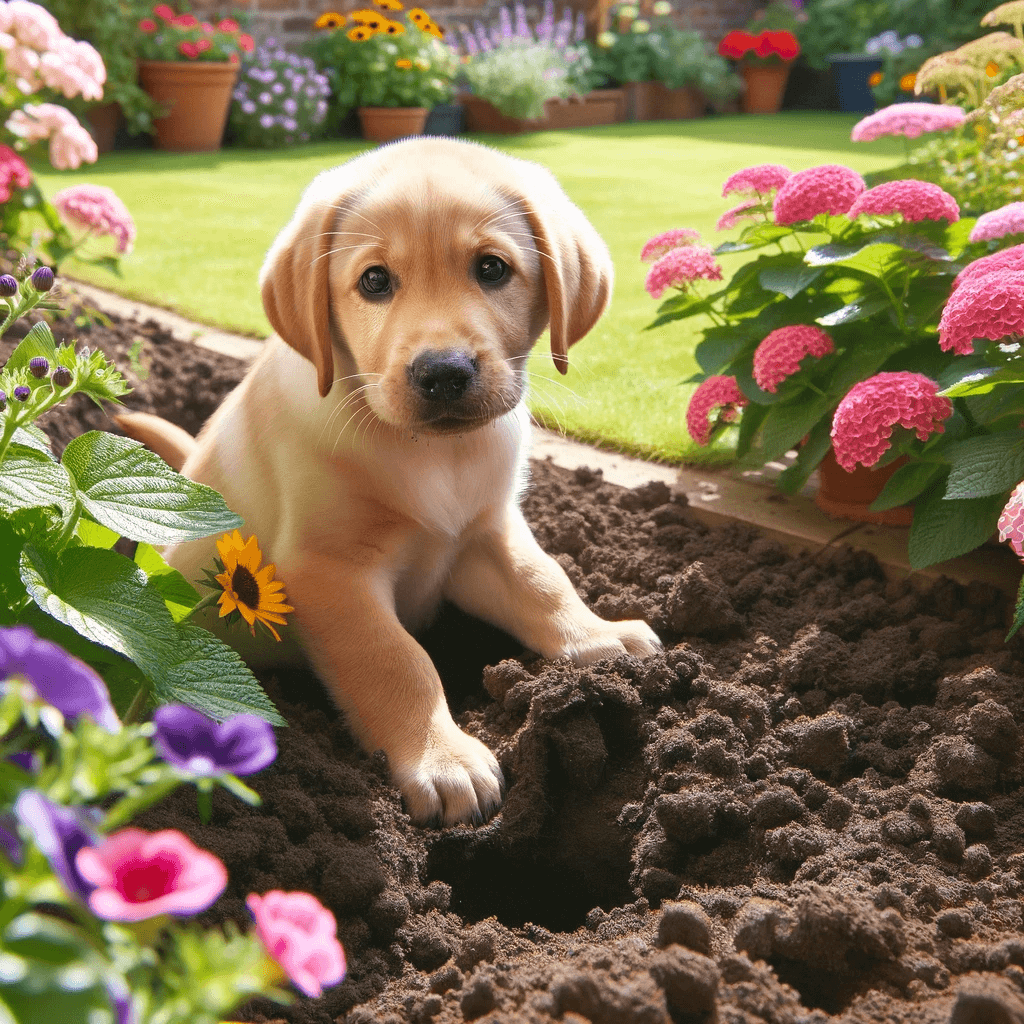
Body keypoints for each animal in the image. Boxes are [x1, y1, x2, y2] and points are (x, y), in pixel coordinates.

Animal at [119, 136, 659, 823]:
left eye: (492, 269)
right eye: (374, 281)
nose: (444, 372)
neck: (435, 455)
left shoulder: (486, 533)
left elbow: (544, 582)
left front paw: (597, 639)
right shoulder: (329, 571)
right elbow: (397, 660)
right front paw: (444, 760)